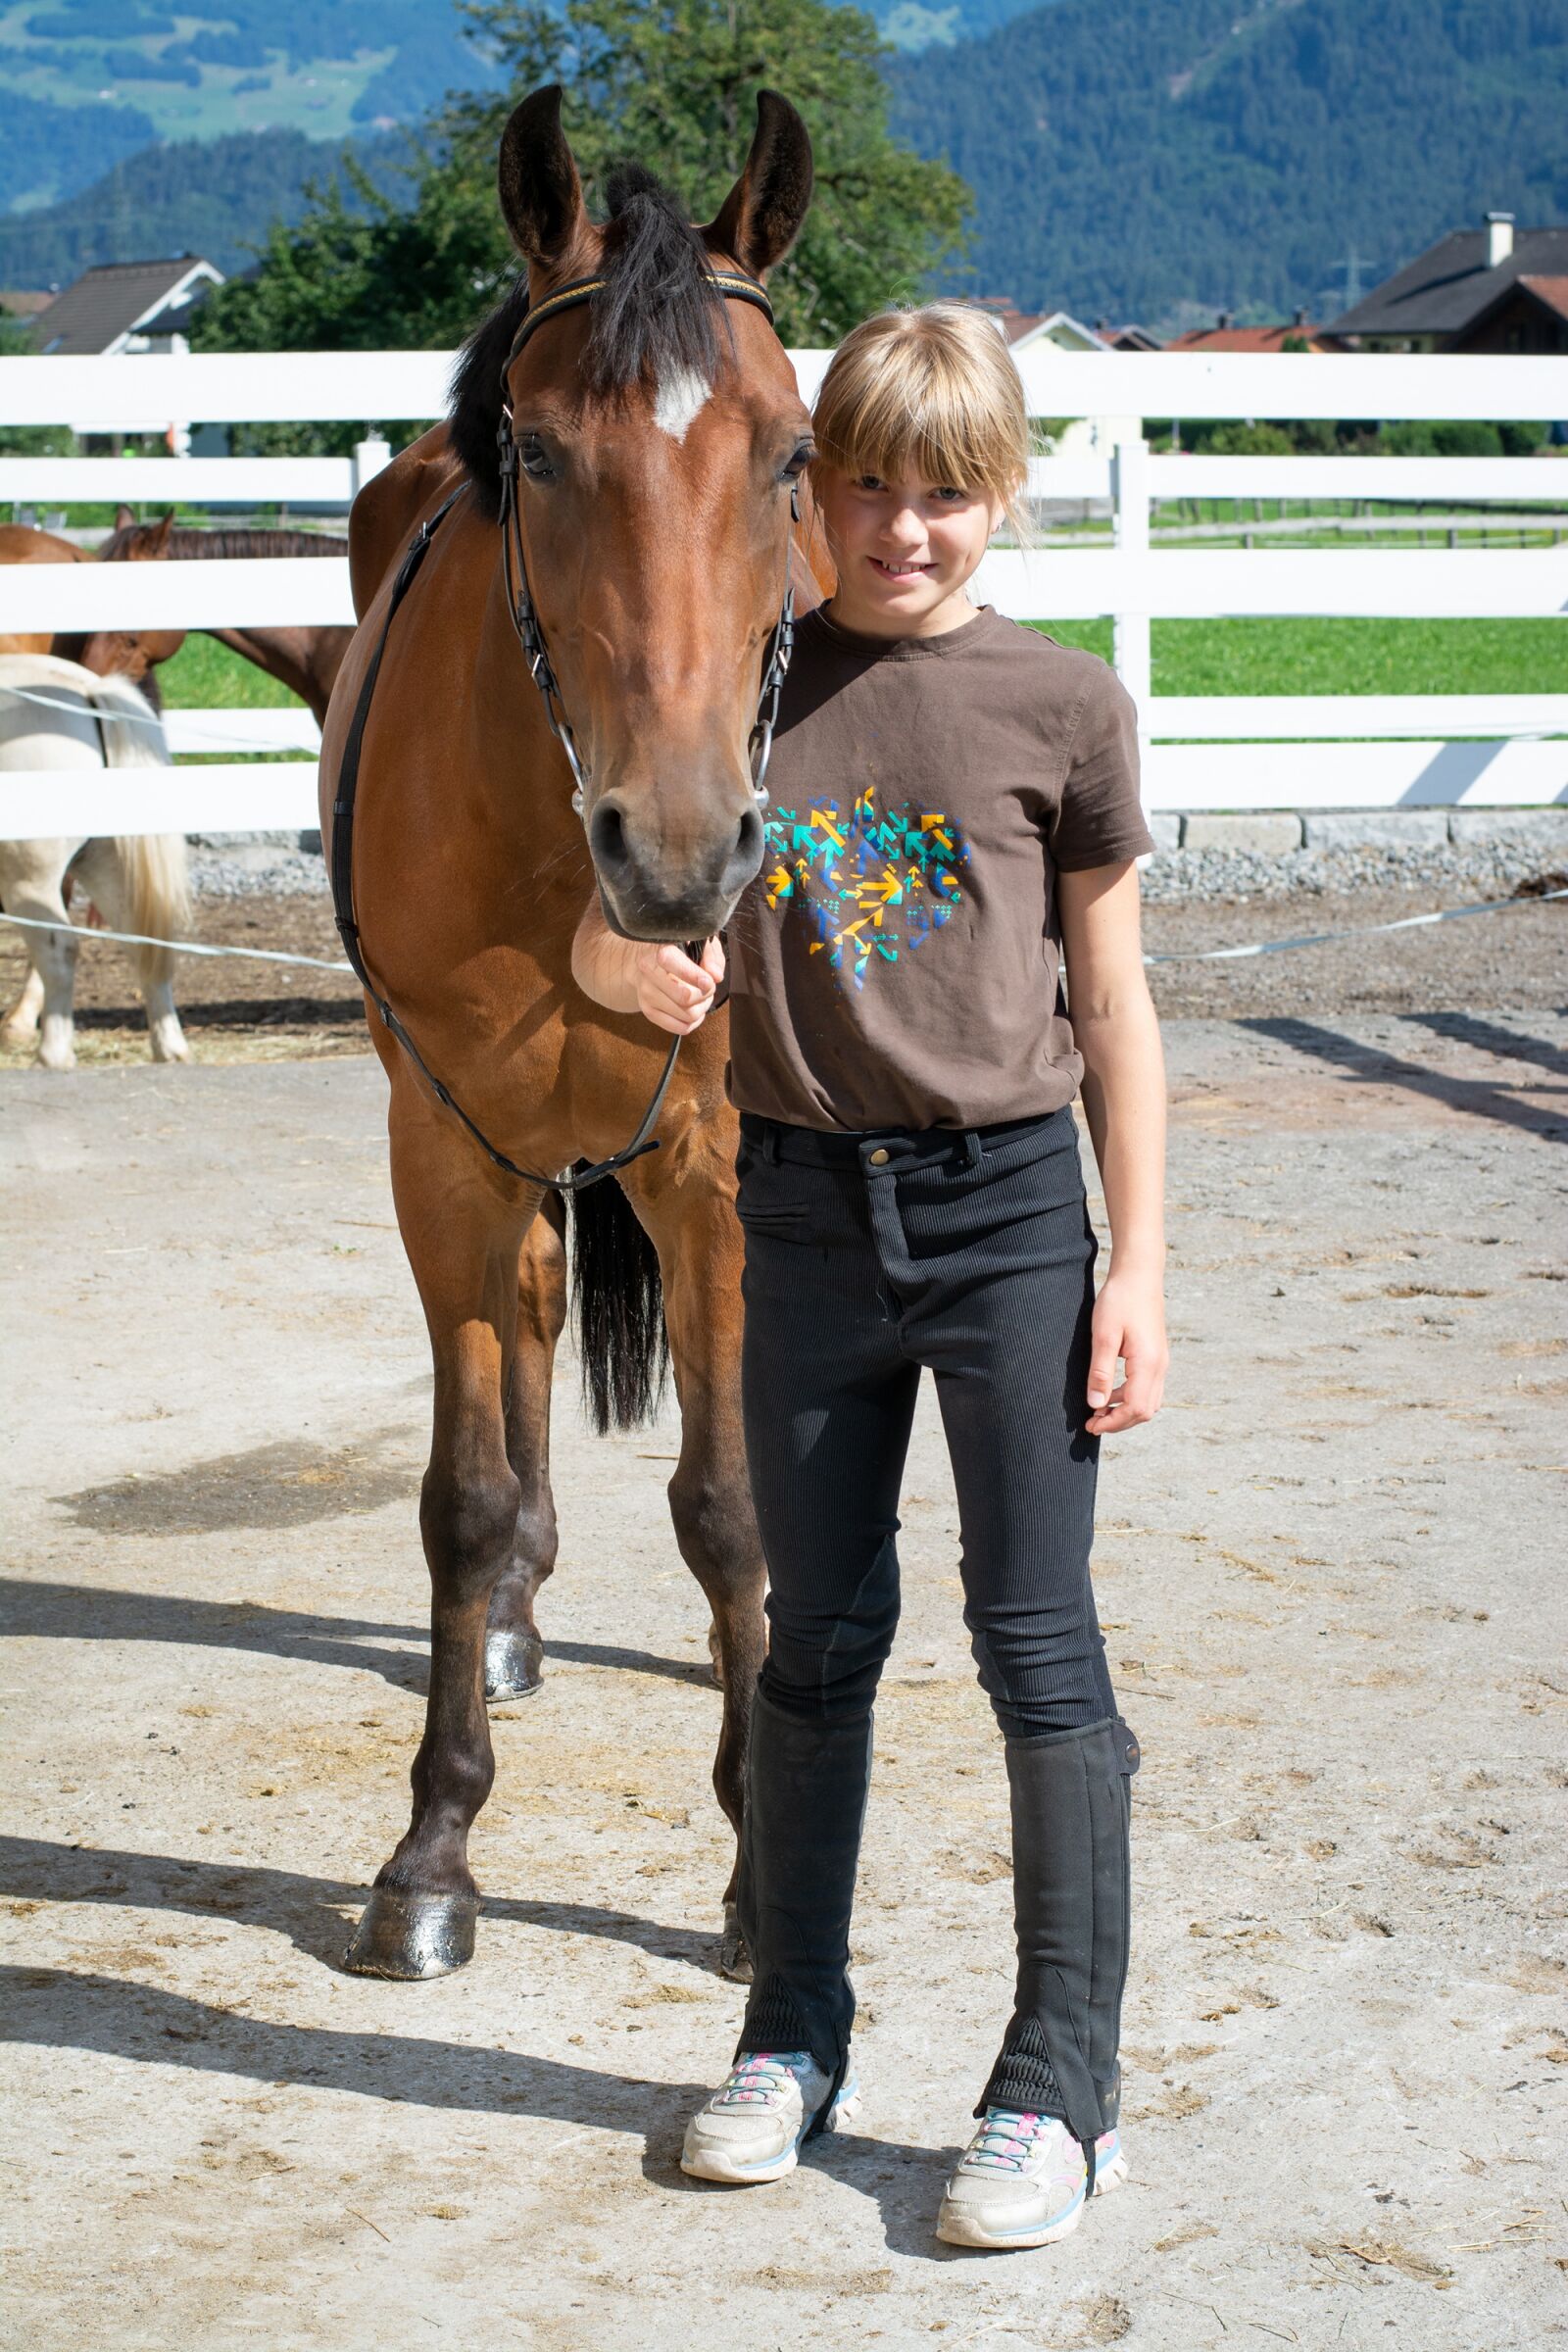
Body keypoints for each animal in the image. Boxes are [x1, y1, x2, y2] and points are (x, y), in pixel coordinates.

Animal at [0, 653, 190, 1068]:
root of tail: (88, 689)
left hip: (29, 882)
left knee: (59, 951)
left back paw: (53, 1055)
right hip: (107, 866)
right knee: (144, 945)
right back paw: (169, 1048)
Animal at [317, 82, 825, 1982]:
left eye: (790, 457)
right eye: (533, 455)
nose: (679, 854)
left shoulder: (717, 1169)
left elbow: (734, 1507)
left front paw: (762, 1863)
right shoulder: (443, 1151)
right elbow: (460, 1500)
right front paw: (433, 1853)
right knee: (530, 1322)